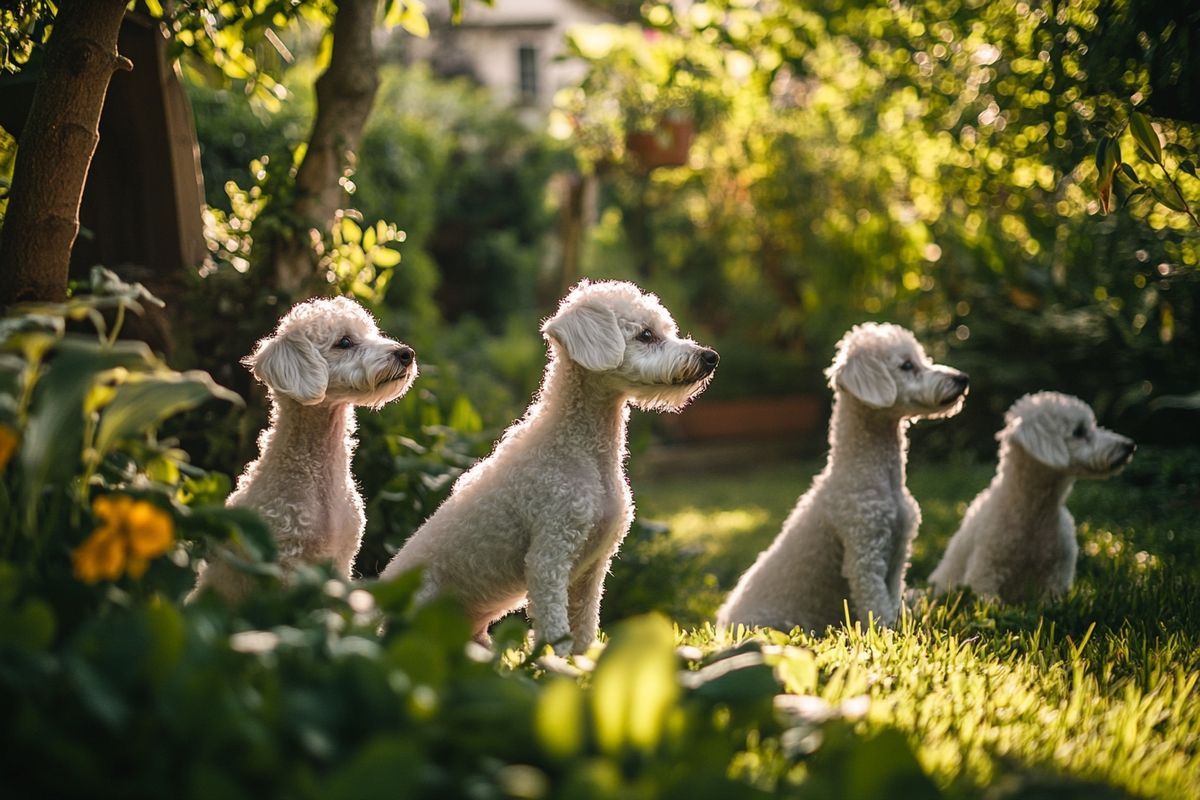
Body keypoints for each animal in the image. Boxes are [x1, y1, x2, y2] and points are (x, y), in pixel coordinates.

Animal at [194, 297, 420, 604]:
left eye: (372, 332)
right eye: (344, 342)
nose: (406, 354)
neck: (316, 477)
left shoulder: (341, 560)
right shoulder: (286, 567)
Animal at [384, 278, 715, 652]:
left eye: (666, 330)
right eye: (646, 335)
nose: (710, 357)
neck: (579, 452)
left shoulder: (592, 569)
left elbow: (584, 630)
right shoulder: (549, 557)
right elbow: (557, 635)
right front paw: (556, 665)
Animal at [715, 321, 969, 633]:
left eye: (921, 359)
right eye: (907, 365)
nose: (962, 379)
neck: (872, 476)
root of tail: (722, 622)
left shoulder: (898, 556)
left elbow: (893, 598)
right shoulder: (865, 557)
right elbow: (878, 608)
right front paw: (889, 636)